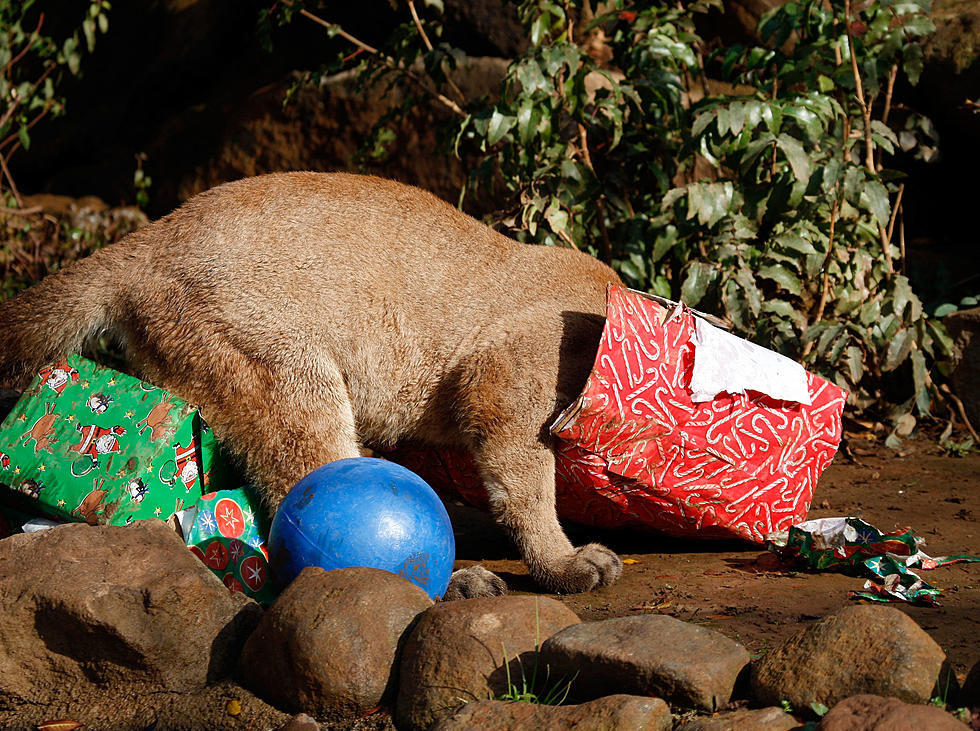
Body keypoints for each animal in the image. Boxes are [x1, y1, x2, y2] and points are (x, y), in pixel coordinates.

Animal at [0, 174, 624, 596]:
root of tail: (147, 240)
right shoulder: (503, 378)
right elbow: (526, 489)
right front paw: (568, 563)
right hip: (285, 369)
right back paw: (453, 582)